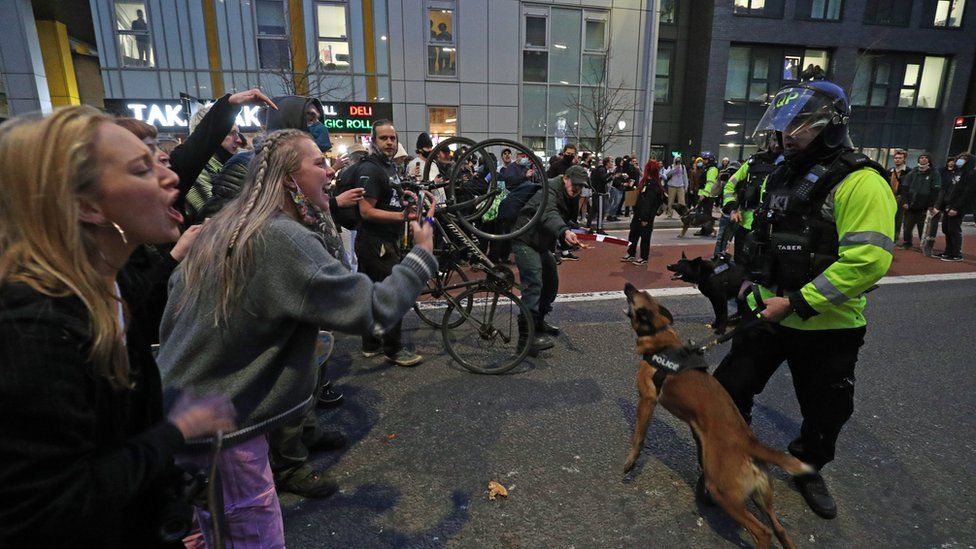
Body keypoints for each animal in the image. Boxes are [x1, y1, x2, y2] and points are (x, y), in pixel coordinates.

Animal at [624, 282, 808, 548]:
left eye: (636, 297)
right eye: (642, 293)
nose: (628, 285)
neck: (660, 338)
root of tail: (750, 444)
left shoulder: (647, 400)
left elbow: (638, 437)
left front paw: (630, 463)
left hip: (722, 492)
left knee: (763, 531)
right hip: (761, 498)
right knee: (780, 529)